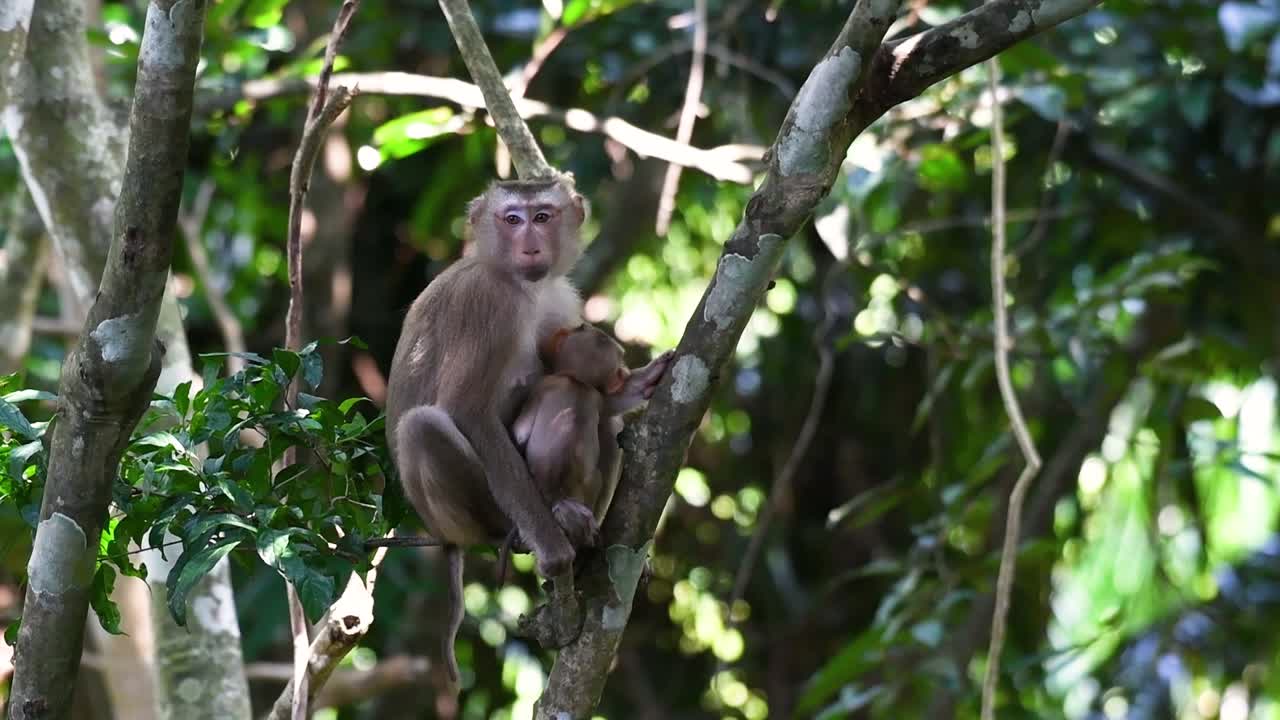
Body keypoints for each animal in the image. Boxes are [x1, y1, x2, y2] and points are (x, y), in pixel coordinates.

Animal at [384, 175, 673, 687]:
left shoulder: (561, 297)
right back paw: (536, 528)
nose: (531, 245)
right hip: (470, 514)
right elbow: (466, 410)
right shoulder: (488, 302)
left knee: (599, 413)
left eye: (542, 216)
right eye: (512, 219)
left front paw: (637, 383)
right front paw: (554, 552)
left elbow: (590, 381)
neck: (522, 285)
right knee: (423, 425)